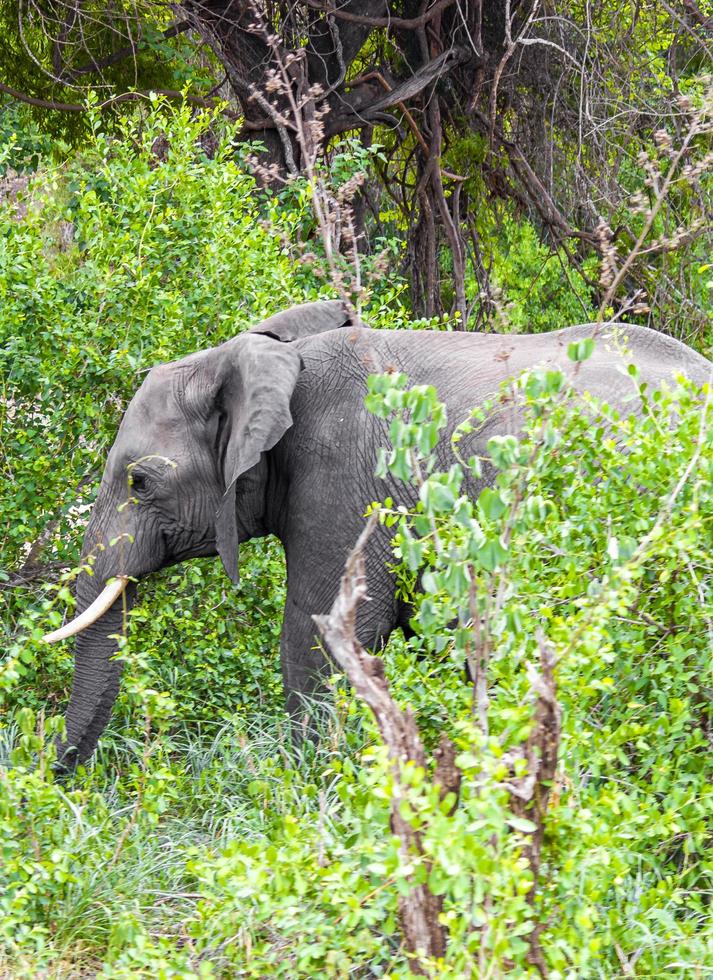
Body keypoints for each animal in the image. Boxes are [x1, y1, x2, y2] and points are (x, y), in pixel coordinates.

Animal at [44, 298, 712, 764]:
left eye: (140, 483)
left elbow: (316, 633)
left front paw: (311, 783)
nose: (57, 770)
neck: (265, 355)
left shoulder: (345, 482)